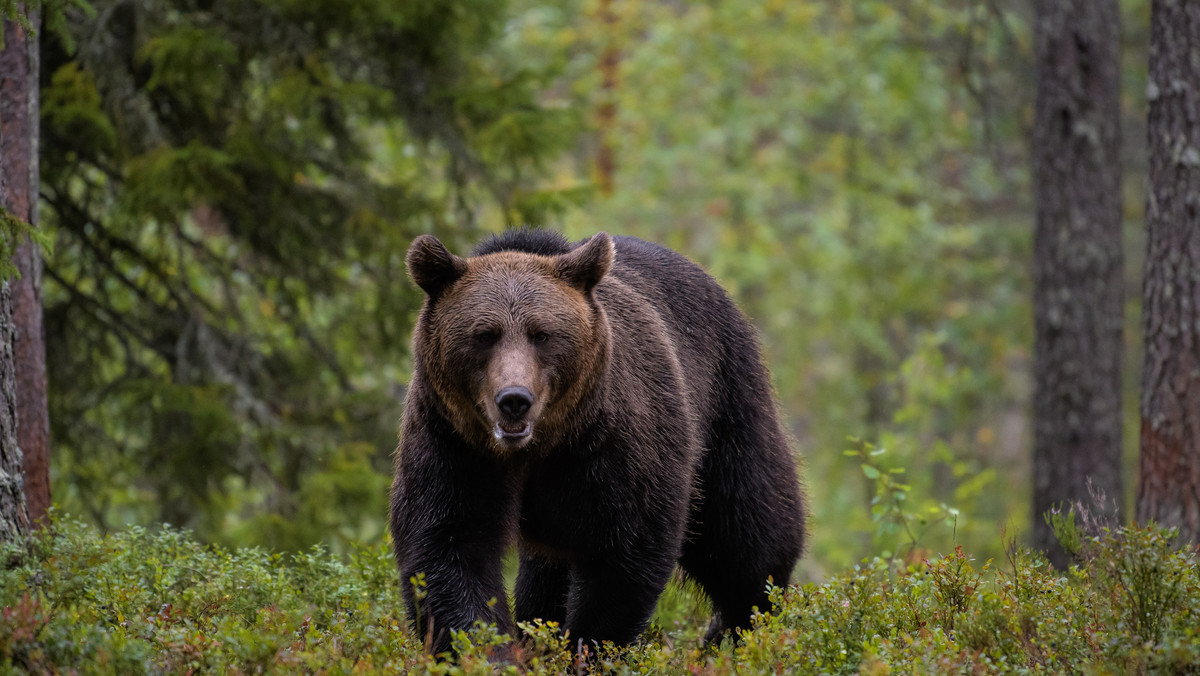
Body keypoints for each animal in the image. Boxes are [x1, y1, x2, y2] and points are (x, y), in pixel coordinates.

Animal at [393, 230, 806, 653]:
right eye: (484, 335)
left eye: (541, 334)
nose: (514, 399)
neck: (538, 448)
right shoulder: (454, 444)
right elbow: (450, 548)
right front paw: (489, 650)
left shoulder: (611, 445)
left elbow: (623, 555)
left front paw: (588, 648)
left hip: (727, 404)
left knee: (746, 535)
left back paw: (743, 630)